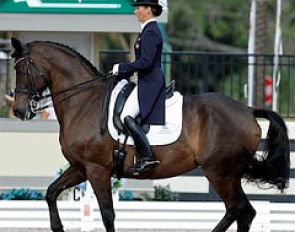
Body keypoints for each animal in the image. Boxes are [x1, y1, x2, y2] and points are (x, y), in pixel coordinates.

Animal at [10, 38, 290, 232]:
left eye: (21, 70)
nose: (19, 111)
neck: (84, 101)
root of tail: (248, 110)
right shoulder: (80, 167)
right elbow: (51, 192)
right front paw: (57, 227)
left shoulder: (97, 169)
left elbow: (107, 214)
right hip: (228, 174)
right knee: (241, 211)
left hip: (220, 172)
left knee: (239, 210)